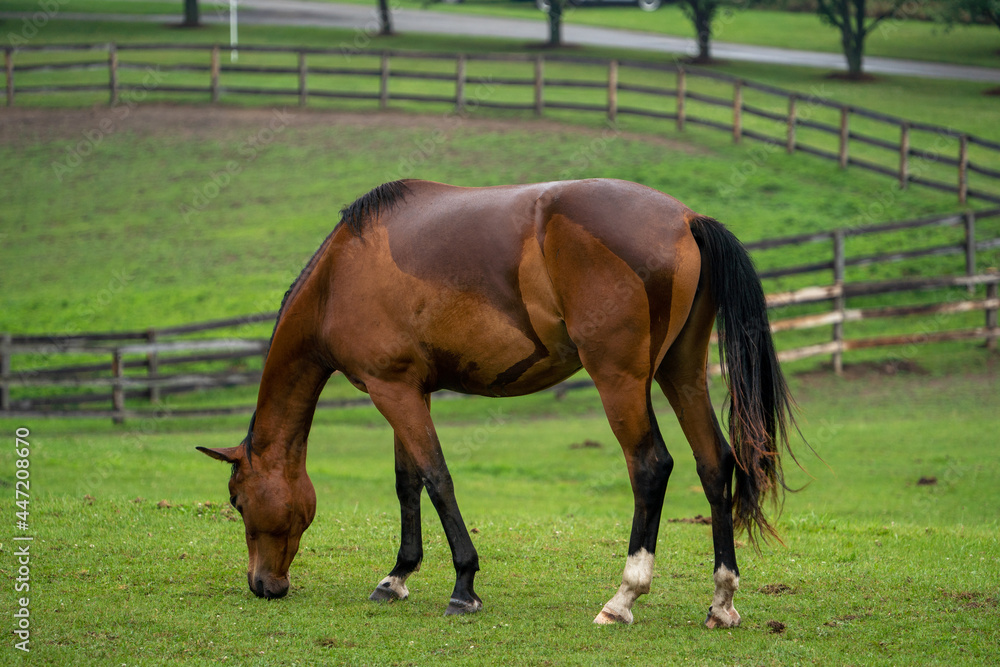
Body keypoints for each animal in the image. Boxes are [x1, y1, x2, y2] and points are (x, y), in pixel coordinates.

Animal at [198, 177, 797, 627]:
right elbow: (407, 483)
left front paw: (463, 584)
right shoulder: (405, 390)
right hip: (682, 372)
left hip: (620, 380)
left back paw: (623, 597)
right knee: (714, 464)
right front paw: (398, 575)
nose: (262, 585)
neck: (342, 272)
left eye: (237, 502)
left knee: (651, 467)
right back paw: (721, 600)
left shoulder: (394, 391)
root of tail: (685, 218)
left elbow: (437, 480)